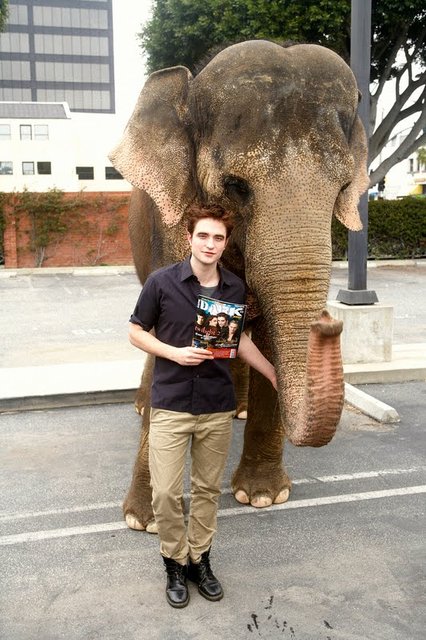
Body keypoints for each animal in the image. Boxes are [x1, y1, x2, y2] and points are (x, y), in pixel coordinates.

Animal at [109, 39, 368, 531]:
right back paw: (144, 407)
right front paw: (143, 521)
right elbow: (160, 343)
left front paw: (263, 496)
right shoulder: (173, 227)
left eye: (344, 187)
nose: (328, 322)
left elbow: (264, 338)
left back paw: (236, 409)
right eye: (235, 186)